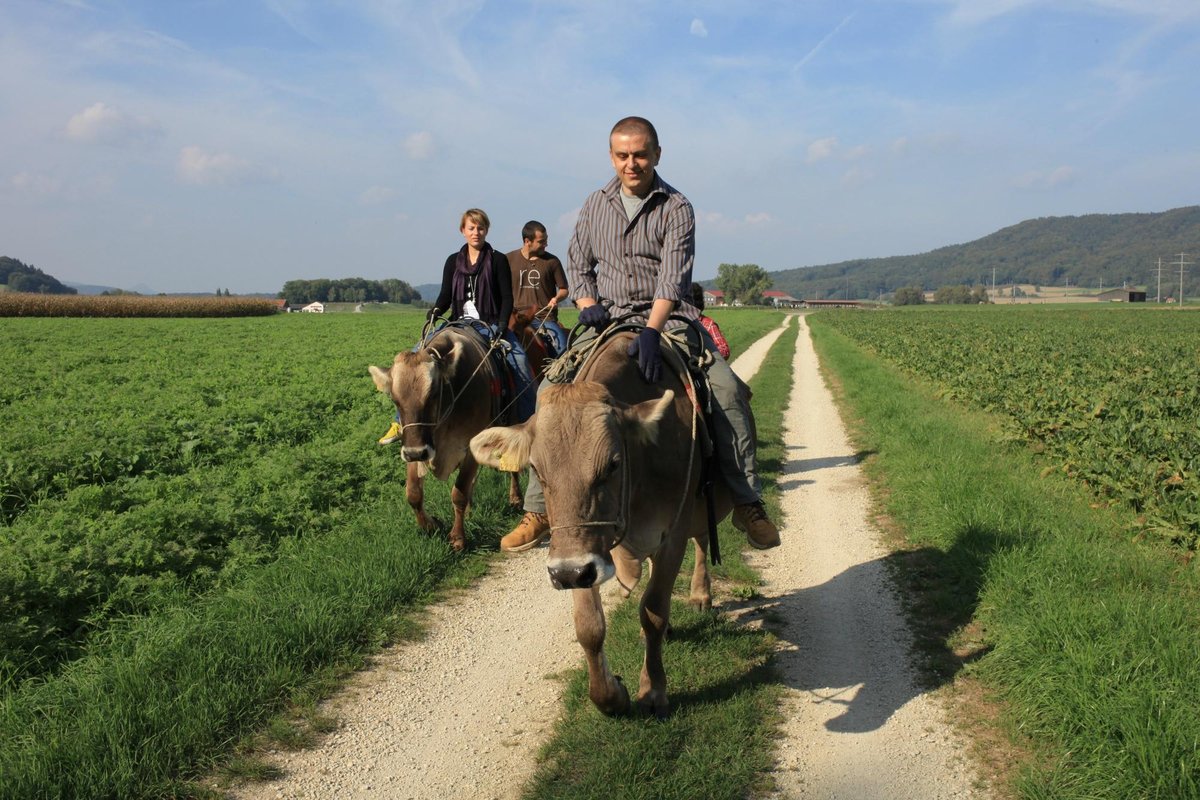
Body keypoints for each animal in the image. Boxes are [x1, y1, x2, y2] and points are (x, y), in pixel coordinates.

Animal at [369, 326, 530, 551]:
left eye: (433, 394)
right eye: (394, 399)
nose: (416, 452)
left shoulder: (468, 447)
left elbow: (459, 493)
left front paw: (458, 537)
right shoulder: (415, 445)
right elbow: (413, 493)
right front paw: (431, 525)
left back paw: (515, 498)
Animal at [470, 331, 729, 719]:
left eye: (613, 464)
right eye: (538, 471)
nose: (567, 574)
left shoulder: (673, 532)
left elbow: (653, 610)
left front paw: (653, 690)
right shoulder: (578, 554)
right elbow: (589, 627)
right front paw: (612, 696)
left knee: (701, 541)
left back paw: (700, 594)